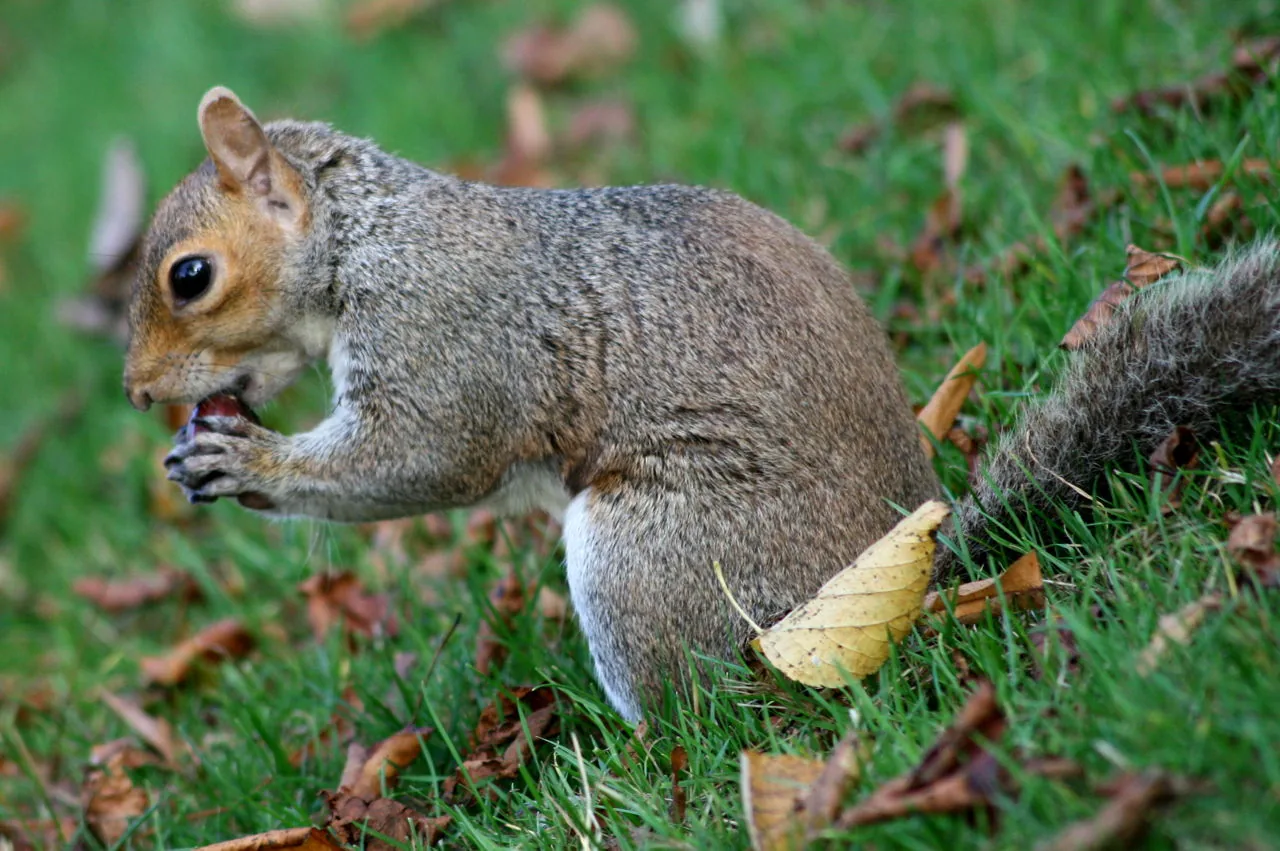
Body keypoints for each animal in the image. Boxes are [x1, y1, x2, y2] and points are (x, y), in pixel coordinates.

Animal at [124, 87, 1280, 721]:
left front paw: (248, 464)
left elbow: (421, 458)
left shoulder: (444, 336)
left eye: (191, 276)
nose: (138, 391)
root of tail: (900, 573)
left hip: (656, 555)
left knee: (723, 707)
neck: (367, 236)